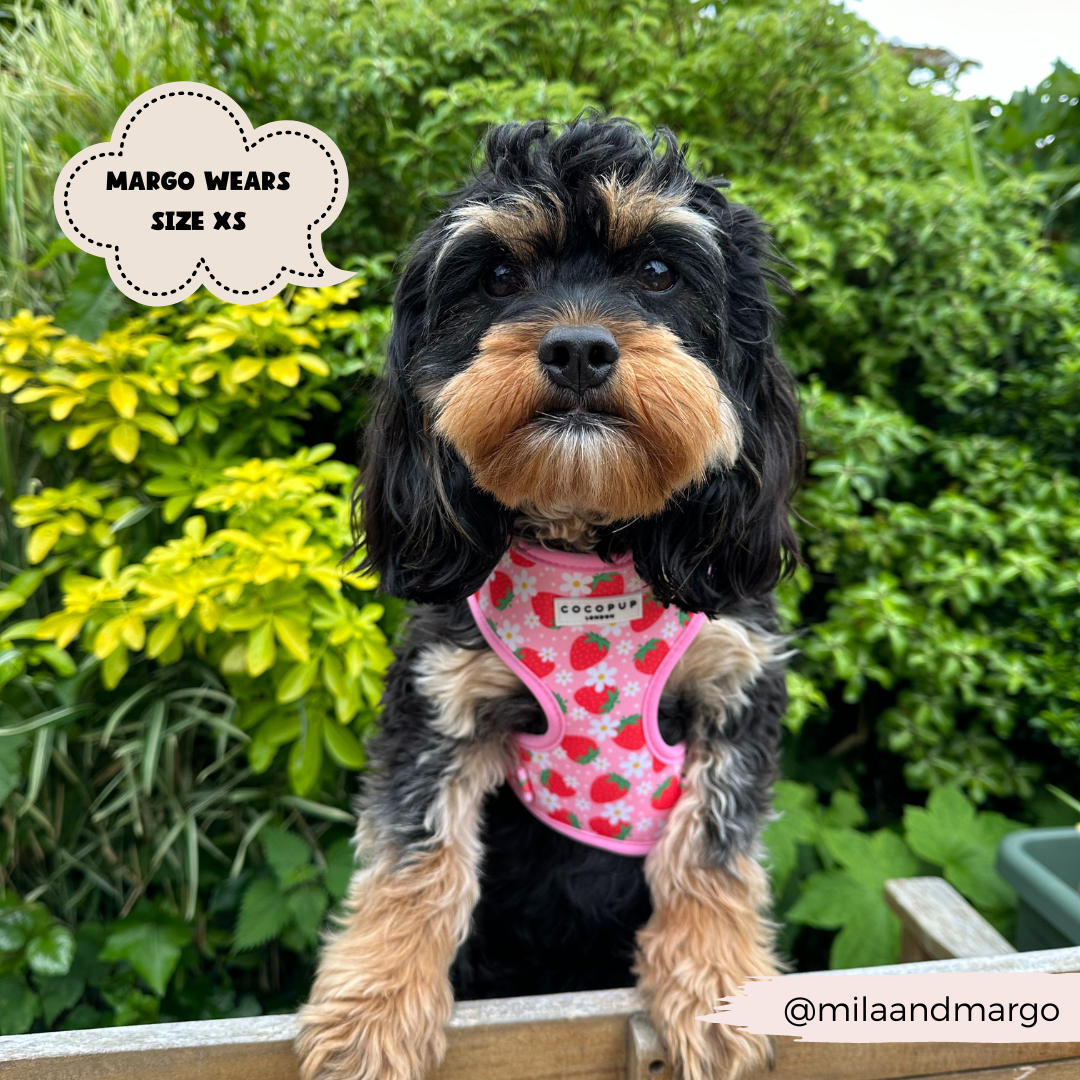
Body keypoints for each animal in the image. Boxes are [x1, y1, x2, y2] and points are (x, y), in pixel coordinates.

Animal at [295, 118, 803, 1080]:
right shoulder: (441, 702)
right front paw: (373, 1014)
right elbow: (415, 857)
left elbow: (710, 850)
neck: (586, 537)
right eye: (498, 278)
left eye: (658, 271)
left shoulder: (735, 688)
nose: (576, 348)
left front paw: (718, 994)